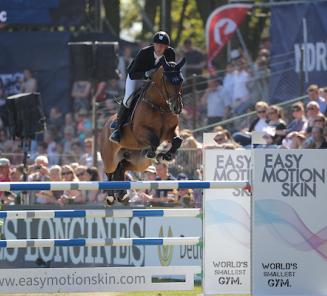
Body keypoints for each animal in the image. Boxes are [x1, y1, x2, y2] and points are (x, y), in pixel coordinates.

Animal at [100, 56, 186, 205]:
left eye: (181, 80)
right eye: (167, 80)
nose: (177, 108)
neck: (160, 106)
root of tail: (105, 125)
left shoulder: (170, 131)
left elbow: (178, 140)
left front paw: (168, 155)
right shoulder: (140, 131)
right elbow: (154, 139)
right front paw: (152, 152)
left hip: (136, 163)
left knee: (122, 168)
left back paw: (122, 195)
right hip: (110, 158)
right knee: (110, 172)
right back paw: (111, 196)